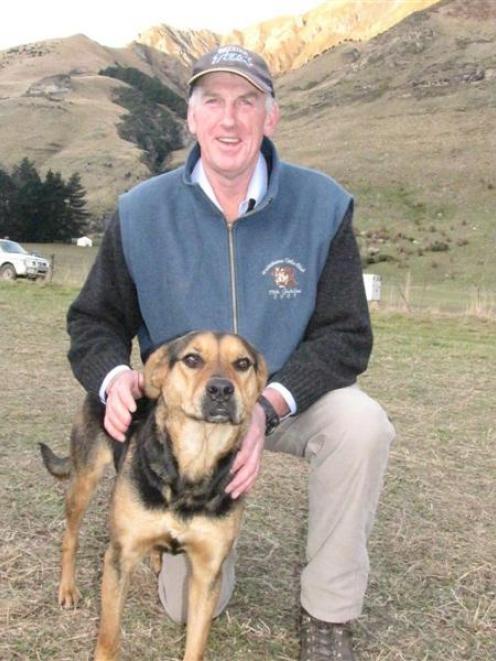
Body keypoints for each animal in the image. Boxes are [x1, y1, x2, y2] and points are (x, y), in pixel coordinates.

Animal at [41, 330, 270, 660]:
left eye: (242, 363)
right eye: (192, 359)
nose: (221, 390)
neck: (193, 464)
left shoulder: (206, 572)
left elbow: (195, 645)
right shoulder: (120, 557)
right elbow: (108, 637)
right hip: (84, 482)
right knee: (70, 538)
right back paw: (67, 589)